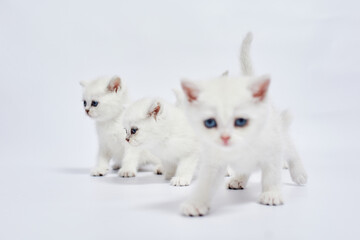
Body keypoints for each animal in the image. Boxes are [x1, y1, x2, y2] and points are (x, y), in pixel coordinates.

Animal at [180, 32, 306, 218]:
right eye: (210, 122)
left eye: (240, 121)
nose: (225, 137)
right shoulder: (213, 160)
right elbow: (205, 183)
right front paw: (196, 203)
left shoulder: (273, 150)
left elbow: (272, 175)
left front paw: (271, 193)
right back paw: (239, 179)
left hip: (279, 132)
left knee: (292, 151)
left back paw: (299, 174)